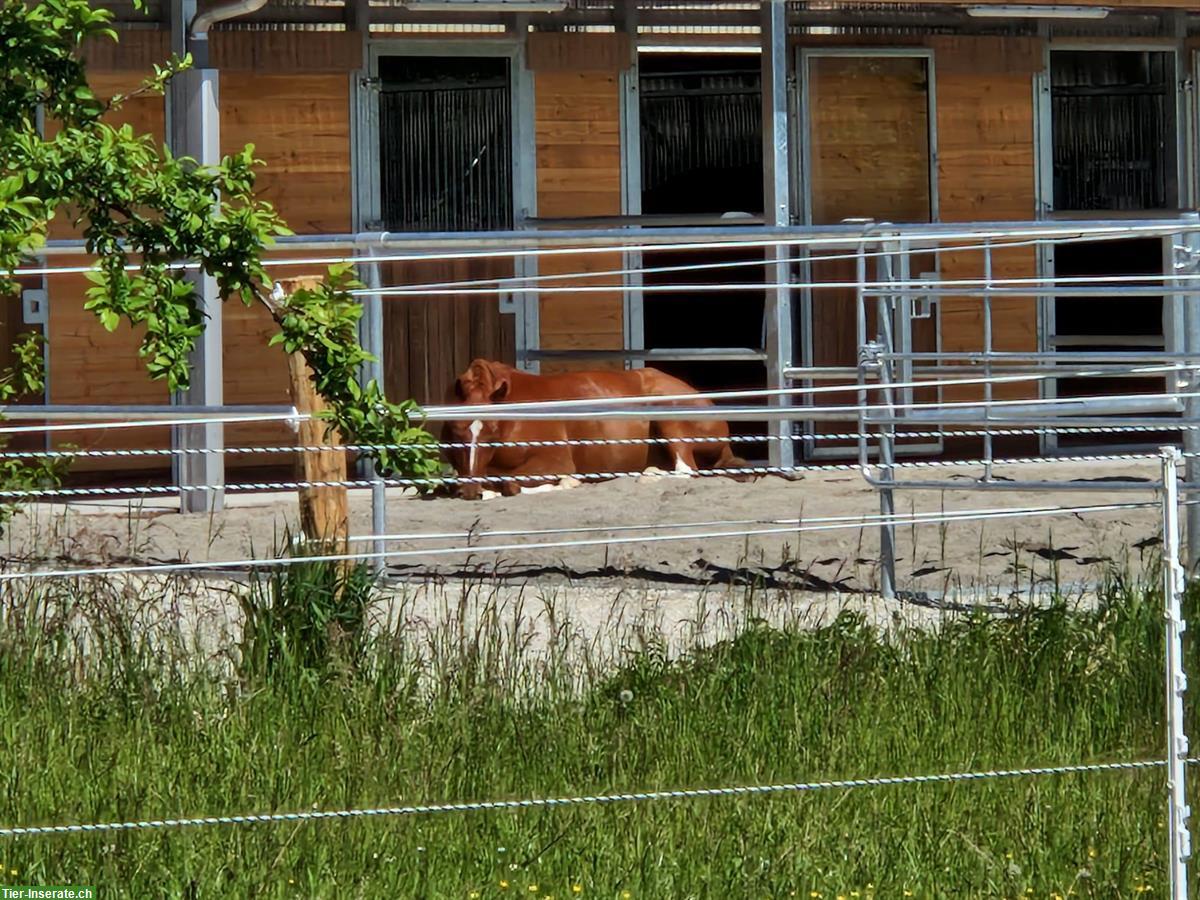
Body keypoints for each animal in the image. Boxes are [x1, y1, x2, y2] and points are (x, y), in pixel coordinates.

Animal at [441, 360, 739, 501]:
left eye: (492, 433)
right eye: (456, 431)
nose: (470, 492)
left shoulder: (555, 460)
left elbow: (513, 484)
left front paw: (568, 483)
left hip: (670, 420)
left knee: (686, 470)